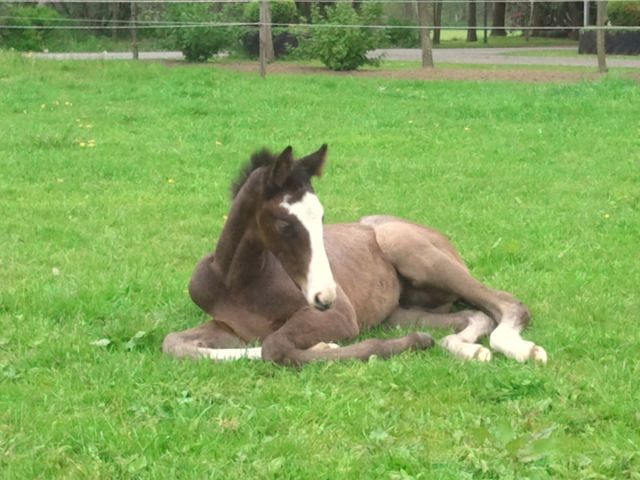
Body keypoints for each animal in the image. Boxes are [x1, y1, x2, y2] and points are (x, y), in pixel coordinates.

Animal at [162, 144, 548, 366]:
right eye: (285, 223)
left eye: (322, 217)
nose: (325, 296)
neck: (239, 282)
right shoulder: (230, 327)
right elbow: (176, 345)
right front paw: (322, 347)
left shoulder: (342, 316)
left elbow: (274, 346)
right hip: (400, 313)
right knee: (475, 315)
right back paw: (467, 348)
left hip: (409, 249)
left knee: (507, 304)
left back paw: (521, 349)